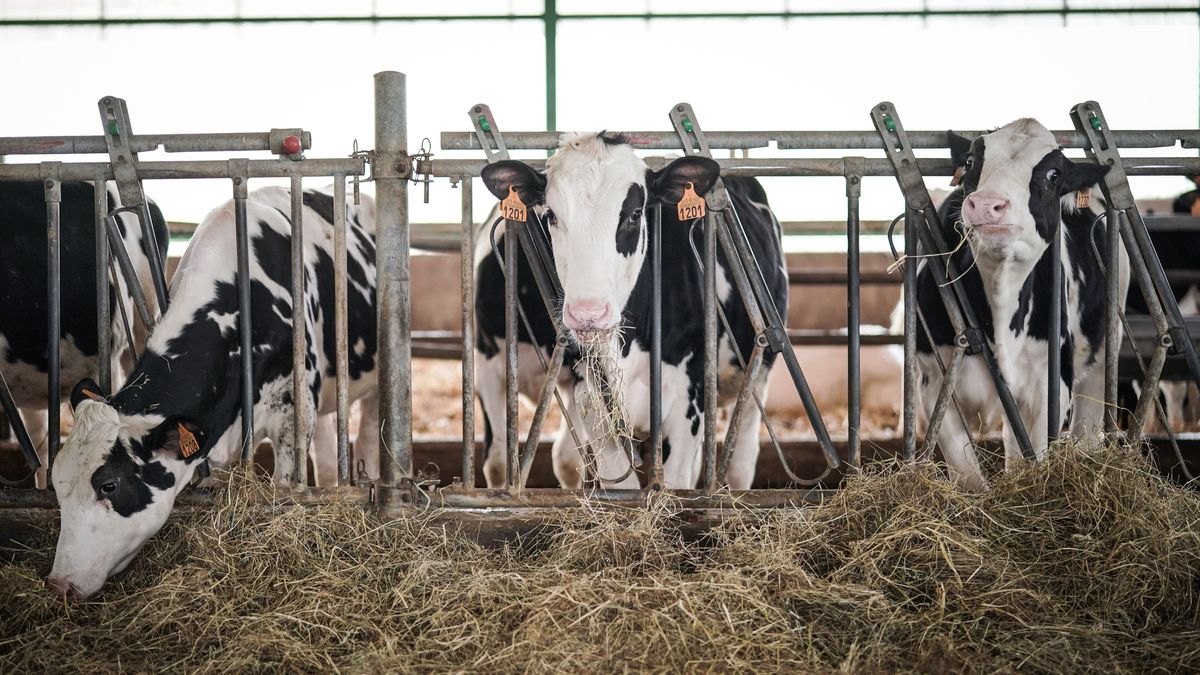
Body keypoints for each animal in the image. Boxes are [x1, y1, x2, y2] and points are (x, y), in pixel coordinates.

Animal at [472, 131, 792, 487]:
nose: (588, 314)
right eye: (551, 215)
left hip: (757, 373)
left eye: (635, 214)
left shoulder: (687, 404)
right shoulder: (590, 400)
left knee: (741, 460)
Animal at [912, 118, 1128, 485]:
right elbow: (968, 476)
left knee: (1086, 428)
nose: (987, 204)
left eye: (1053, 175)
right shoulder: (934, 383)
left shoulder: (1048, 386)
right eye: (971, 161)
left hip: (1102, 359)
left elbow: (1027, 457)